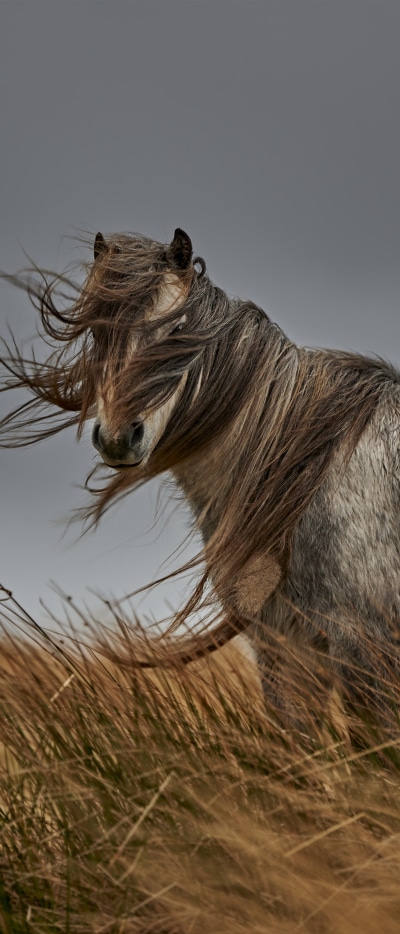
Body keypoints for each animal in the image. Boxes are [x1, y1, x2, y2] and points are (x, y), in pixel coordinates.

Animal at [2, 227, 400, 727]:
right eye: (98, 331)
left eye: (178, 331)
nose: (119, 438)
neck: (308, 478)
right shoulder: (284, 648)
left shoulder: (364, 646)